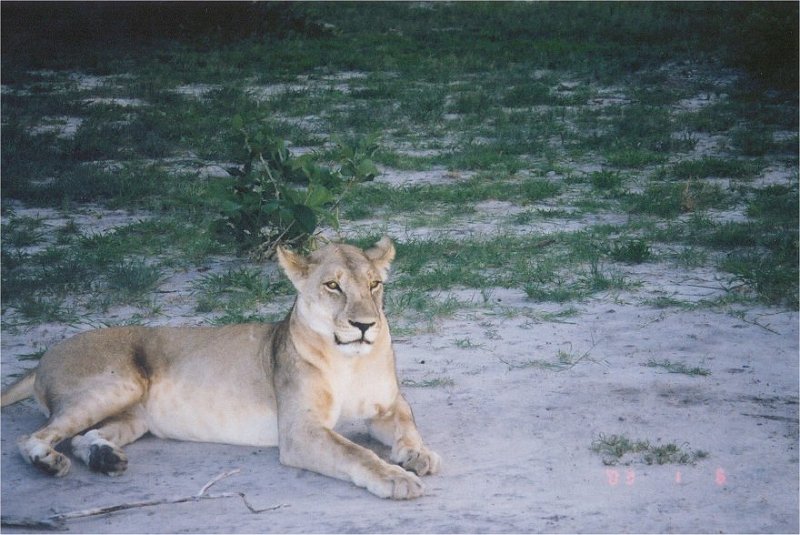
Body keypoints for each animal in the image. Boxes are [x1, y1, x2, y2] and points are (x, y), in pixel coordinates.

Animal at [0, 237, 440, 499]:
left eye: (374, 285)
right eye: (333, 285)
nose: (365, 325)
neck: (350, 359)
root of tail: (43, 356)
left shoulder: (389, 406)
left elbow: (409, 426)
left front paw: (418, 455)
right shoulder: (300, 431)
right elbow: (355, 453)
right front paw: (396, 478)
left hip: (132, 414)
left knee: (82, 437)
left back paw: (104, 459)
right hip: (118, 384)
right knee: (32, 438)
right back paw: (48, 462)